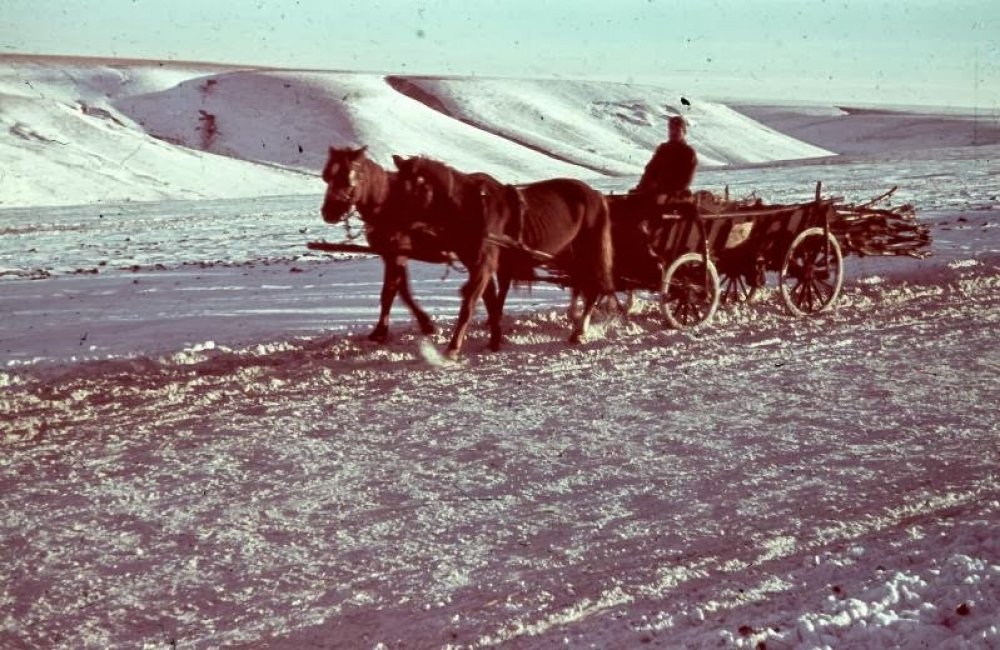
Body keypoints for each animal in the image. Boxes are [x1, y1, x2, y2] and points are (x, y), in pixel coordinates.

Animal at [320, 145, 450, 342]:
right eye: (326, 176)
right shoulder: (390, 255)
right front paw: (426, 324)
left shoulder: (397, 255)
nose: (328, 212)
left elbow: (389, 292)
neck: (389, 205)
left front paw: (380, 331)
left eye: (347, 177)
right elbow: (403, 291)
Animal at [392, 154, 612, 356]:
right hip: (568, 256)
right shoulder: (480, 266)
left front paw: (453, 348)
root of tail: (596, 195)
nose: (391, 226)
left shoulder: (483, 265)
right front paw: (495, 340)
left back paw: (578, 331)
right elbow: (491, 303)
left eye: (408, 190)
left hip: (587, 251)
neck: (471, 207)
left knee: (593, 287)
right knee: (582, 284)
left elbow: (469, 305)